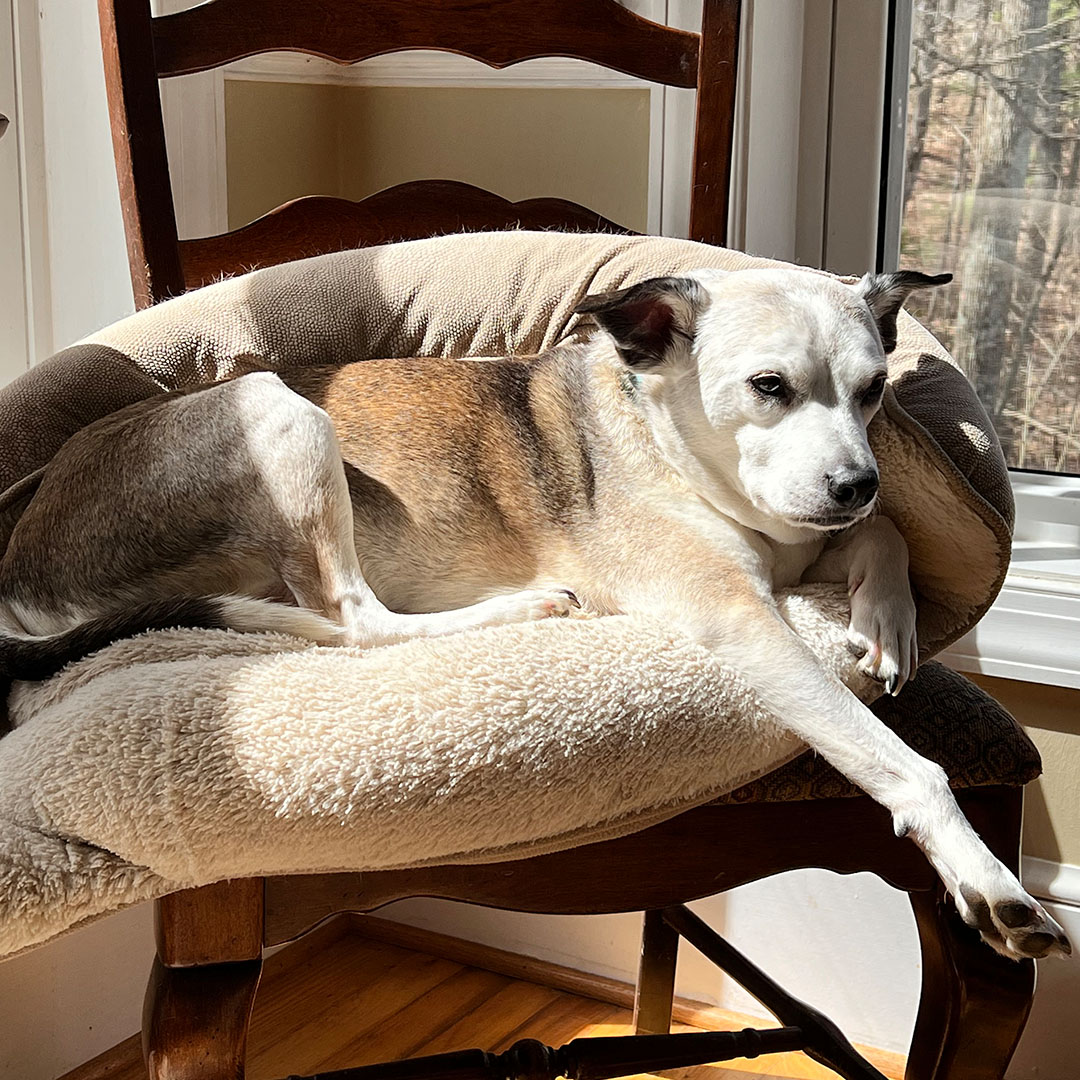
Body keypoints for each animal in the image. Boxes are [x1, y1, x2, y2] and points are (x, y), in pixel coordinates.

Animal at [0, 265, 1067, 959]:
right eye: (770, 387)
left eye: (874, 390)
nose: (856, 481)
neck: (671, 440)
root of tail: (22, 569)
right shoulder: (738, 616)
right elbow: (903, 763)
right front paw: (988, 883)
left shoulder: (806, 543)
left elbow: (883, 541)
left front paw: (887, 619)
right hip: (279, 411)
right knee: (357, 620)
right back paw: (527, 606)